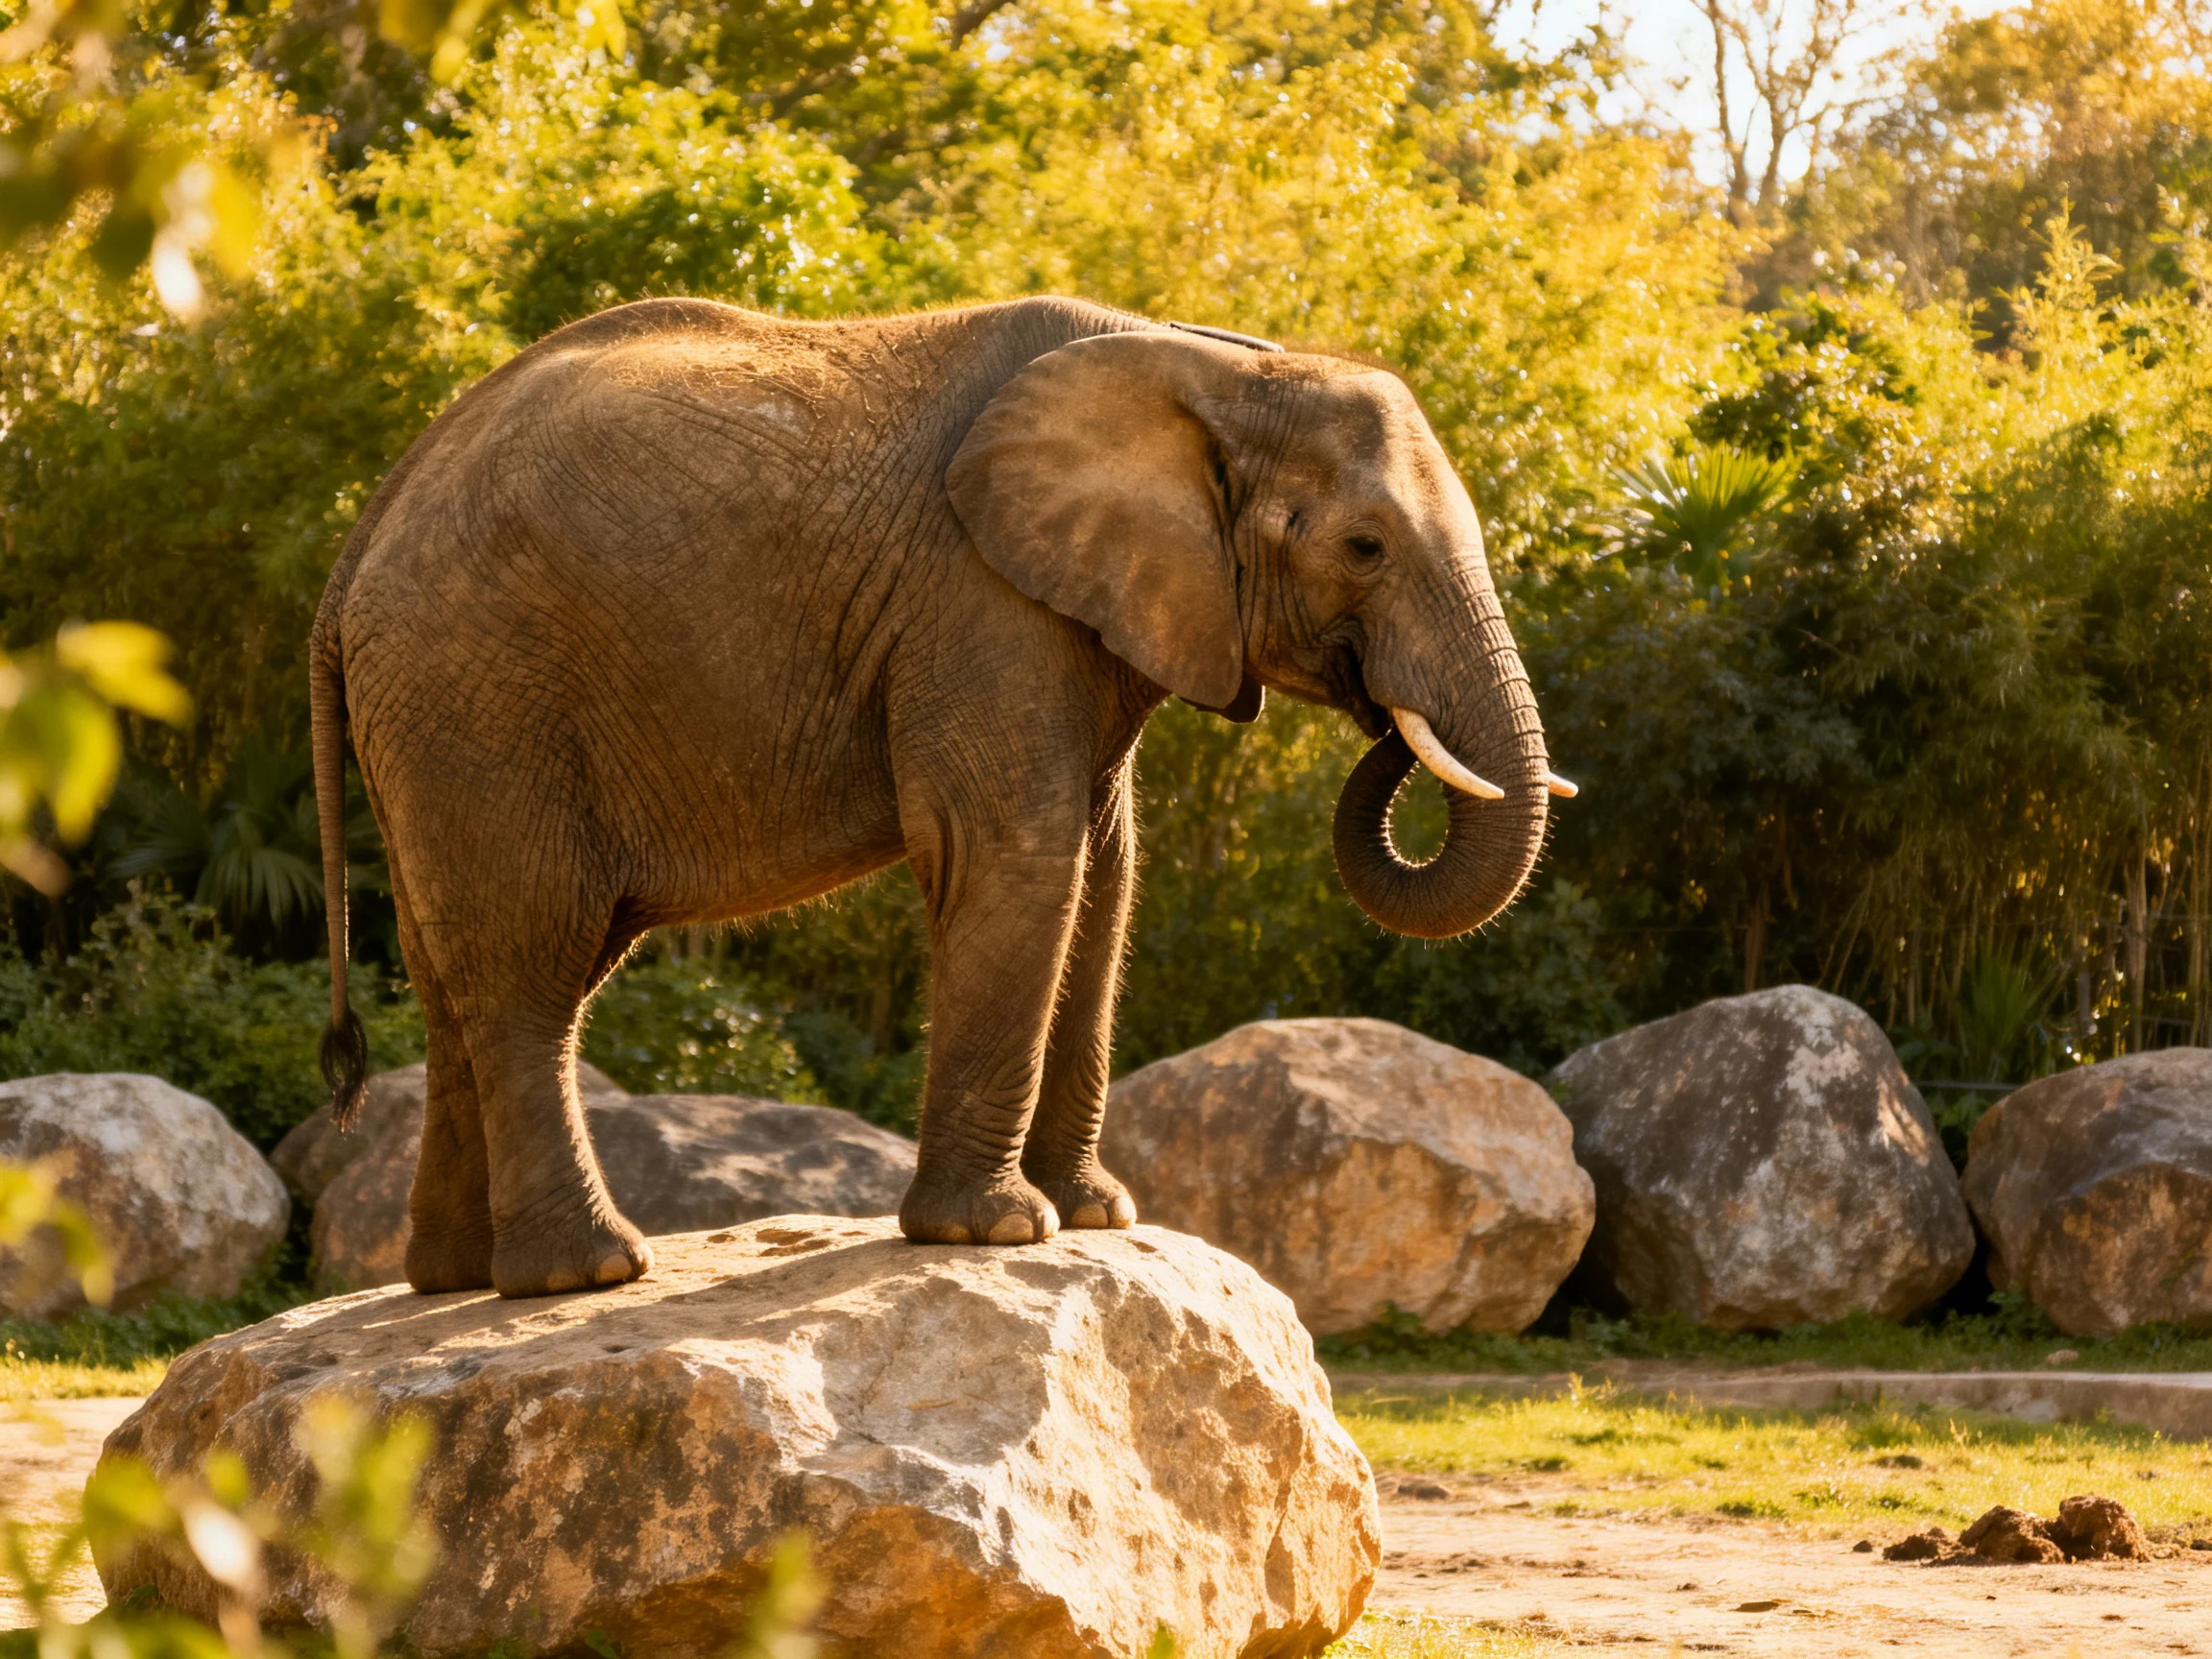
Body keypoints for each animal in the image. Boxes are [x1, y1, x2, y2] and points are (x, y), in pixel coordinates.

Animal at [310, 294, 1567, 1298]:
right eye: (1364, 547)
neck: (1220, 367)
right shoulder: (979, 597)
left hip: (436, 721)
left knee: (453, 976)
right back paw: (590, 1274)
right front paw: (998, 1235)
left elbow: (1106, 877)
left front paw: (1097, 1216)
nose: (1387, 726)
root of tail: (363, 531)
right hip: (481, 697)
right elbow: (1017, 853)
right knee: (531, 962)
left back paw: (450, 1280)